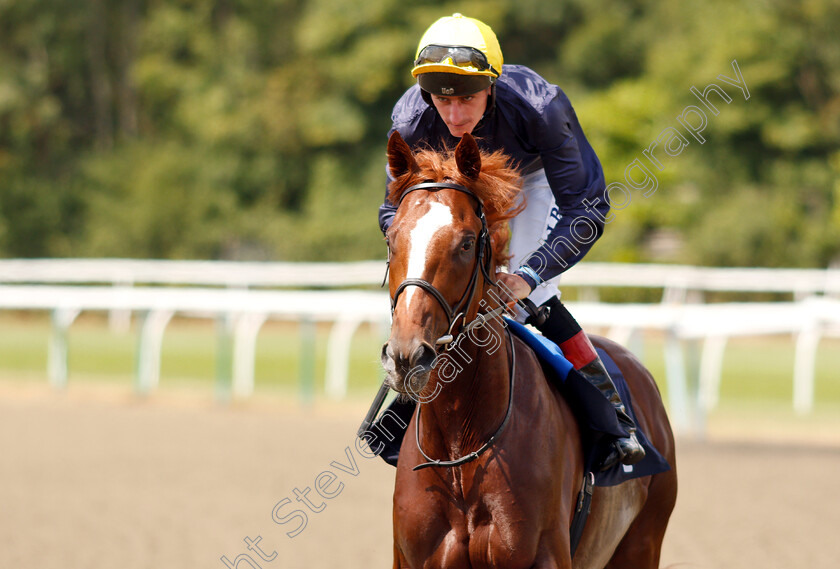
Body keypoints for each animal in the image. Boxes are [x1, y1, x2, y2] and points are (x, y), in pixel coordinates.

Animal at [384, 130, 680, 568]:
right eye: (391, 239)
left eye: (466, 243)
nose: (406, 356)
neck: (461, 442)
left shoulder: (543, 554)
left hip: (644, 541)